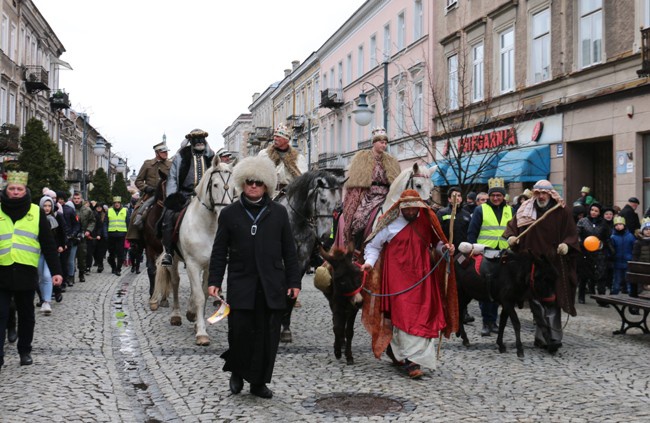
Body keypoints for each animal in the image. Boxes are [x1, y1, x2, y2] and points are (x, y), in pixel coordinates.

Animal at [149, 157, 235, 346]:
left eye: (234, 187)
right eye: (215, 185)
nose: (225, 212)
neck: (207, 227)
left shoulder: (210, 265)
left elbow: (204, 293)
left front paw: (195, 319)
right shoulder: (193, 264)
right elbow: (199, 296)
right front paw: (201, 332)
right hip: (173, 260)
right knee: (175, 282)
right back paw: (176, 315)